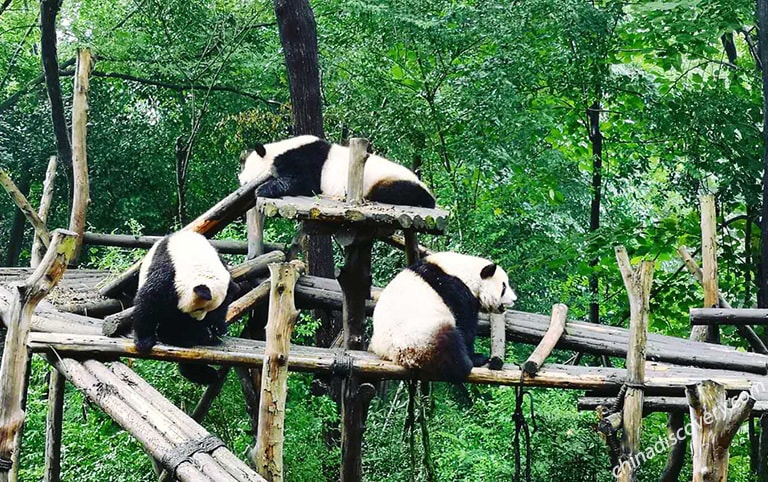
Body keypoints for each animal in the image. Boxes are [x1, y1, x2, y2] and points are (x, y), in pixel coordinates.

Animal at [133, 230, 234, 384]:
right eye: (199, 309)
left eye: (210, 311)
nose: (199, 320)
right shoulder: (167, 273)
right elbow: (149, 301)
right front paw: (144, 341)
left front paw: (216, 328)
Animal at [234, 135, 438, 208]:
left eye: (246, 170)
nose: (241, 181)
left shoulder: (305, 159)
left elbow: (303, 182)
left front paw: (262, 189)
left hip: (389, 181)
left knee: (397, 191)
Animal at [370, 252, 516, 384]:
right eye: (504, 286)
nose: (514, 299)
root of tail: (395, 356)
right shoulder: (455, 289)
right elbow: (465, 324)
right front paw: (476, 356)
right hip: (419, 337)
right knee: (449, 344)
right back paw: (467, 363)